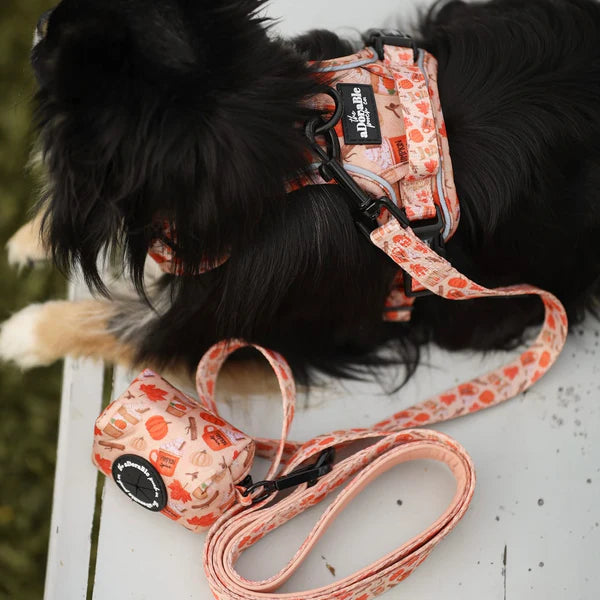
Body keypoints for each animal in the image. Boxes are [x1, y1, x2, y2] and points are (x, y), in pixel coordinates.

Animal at [3, 0, 600, 384]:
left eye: (54, 53)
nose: (40, 20)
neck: (303, 159)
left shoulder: (224, 330)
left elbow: (119, 326)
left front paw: (24, 333)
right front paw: (27, 241)